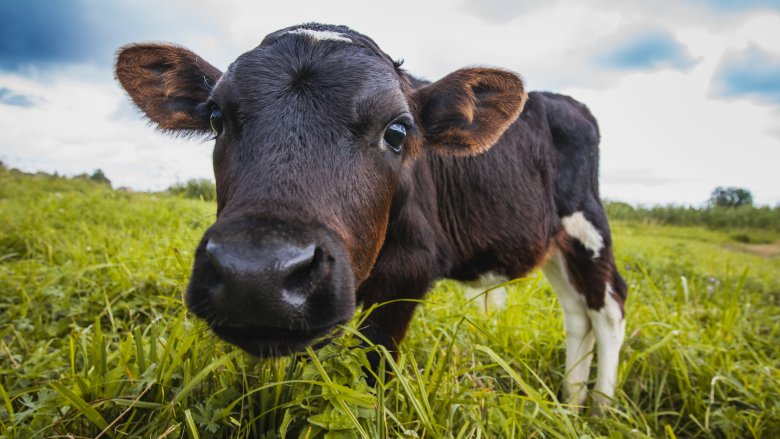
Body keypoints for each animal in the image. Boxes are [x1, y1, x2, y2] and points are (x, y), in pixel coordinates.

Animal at [115, 23, 627, 413]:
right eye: (217, 117)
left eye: (397, 131)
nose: (255, 275)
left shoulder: (412, 268)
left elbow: (373, 364)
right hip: (556, 245)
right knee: (576, 313)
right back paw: (569, 400)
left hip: (588, 224)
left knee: (608, 307)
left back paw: (599, 408)